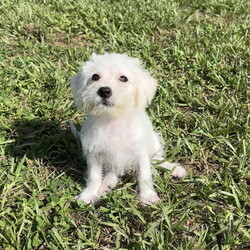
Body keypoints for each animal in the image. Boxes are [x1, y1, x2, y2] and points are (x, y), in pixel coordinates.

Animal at [70, 53, 186, 205]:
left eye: (123, 78)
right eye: (95, 77)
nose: (104, 90)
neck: (113, 120)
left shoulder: (141, 154)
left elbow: (144, 176)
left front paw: (147, 196)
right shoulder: (95, 154)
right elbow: (94, 177)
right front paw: (88, 194)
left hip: (154, 142)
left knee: (156, 159)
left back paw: (175, 169)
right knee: (112, 173)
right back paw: (105, 186)